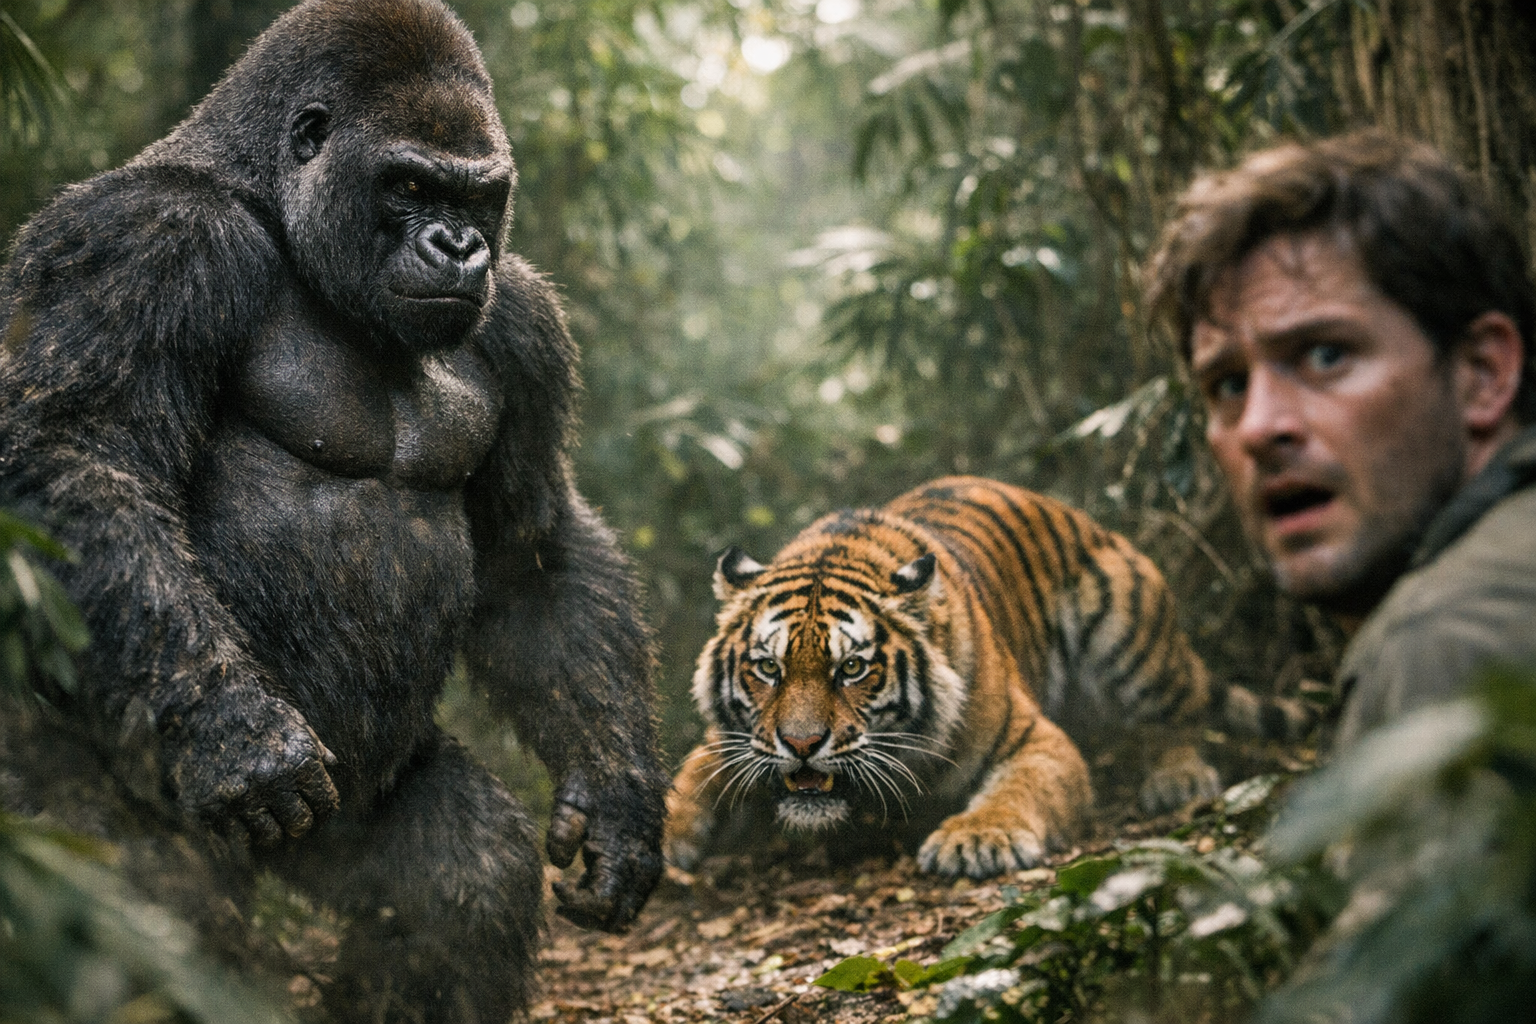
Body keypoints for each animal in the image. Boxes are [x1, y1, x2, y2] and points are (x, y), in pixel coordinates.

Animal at [0, 2, 667, 1020]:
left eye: (478, 198)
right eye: (409, 184)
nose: (459, 247)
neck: (270, 204)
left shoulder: (521, 319)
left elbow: (530, 550)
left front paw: (618, 799)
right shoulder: (142, 242)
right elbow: (77, 454)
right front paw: (232, 732)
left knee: (463, 874)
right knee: (143, 892)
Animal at [664, 475, 1316, 879]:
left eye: (851, 668)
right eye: (768, 668)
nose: (801, 745)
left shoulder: (1036, 740)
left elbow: (1017, 789)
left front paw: (976, 838)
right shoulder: (730, 741)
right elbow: (687, 774)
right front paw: (664, 835)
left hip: (1127, 625)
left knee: (1174, 716)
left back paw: (1177, 778)